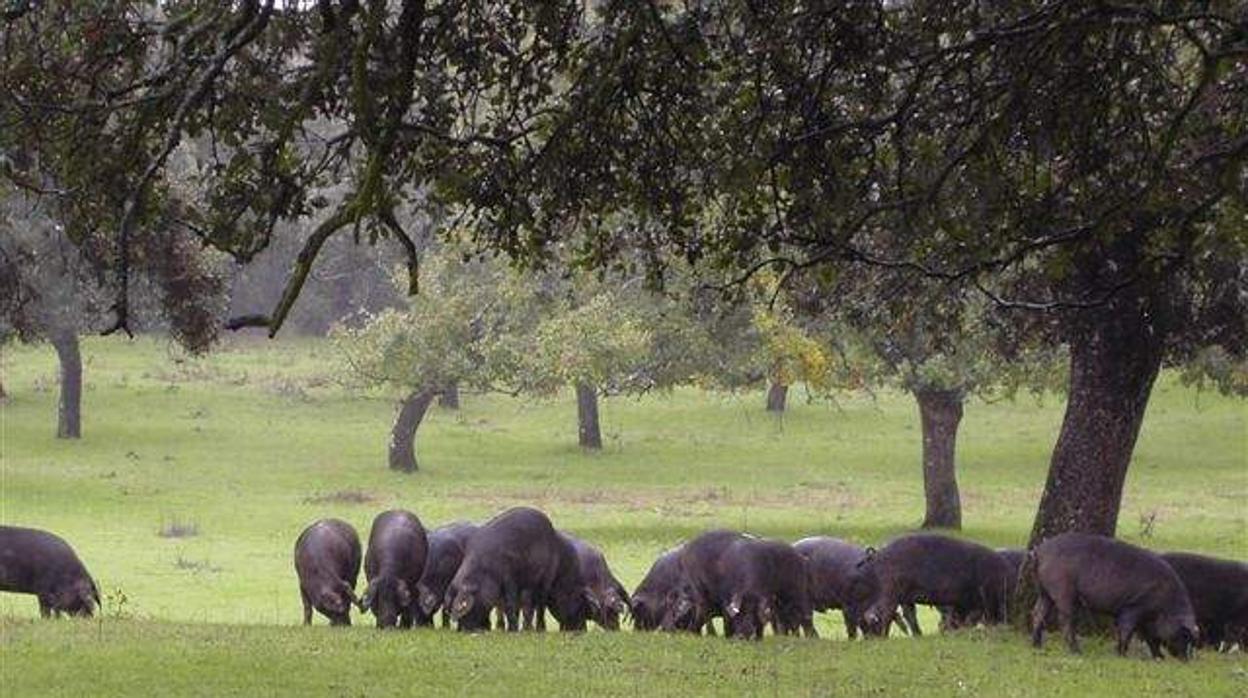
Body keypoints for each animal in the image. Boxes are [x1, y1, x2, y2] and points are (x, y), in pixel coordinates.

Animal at [446, 506, 591, 634]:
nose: (463, 630)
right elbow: (505, 607)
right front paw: (505, 629)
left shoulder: (509, 577)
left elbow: (511, 603)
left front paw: (512, 630)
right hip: (529, 584)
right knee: (529, 605)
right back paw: (526, 629)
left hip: (546, 577)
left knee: (540, 604)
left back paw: (538, 630)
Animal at [1033, 534, 1198, 659]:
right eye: (1184, 635)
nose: (1186, 660)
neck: (1165, 605)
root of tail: (1040, 551)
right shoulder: (1133, 607)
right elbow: (1127, 630)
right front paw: (1122, 655)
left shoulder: (1146, 620)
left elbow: (1151, 638)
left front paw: (1159, 658)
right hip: (1063, 591)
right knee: (1065, 620)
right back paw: (1077, 652)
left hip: (1044, 592)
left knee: (1037, 613)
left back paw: (1036, 645)